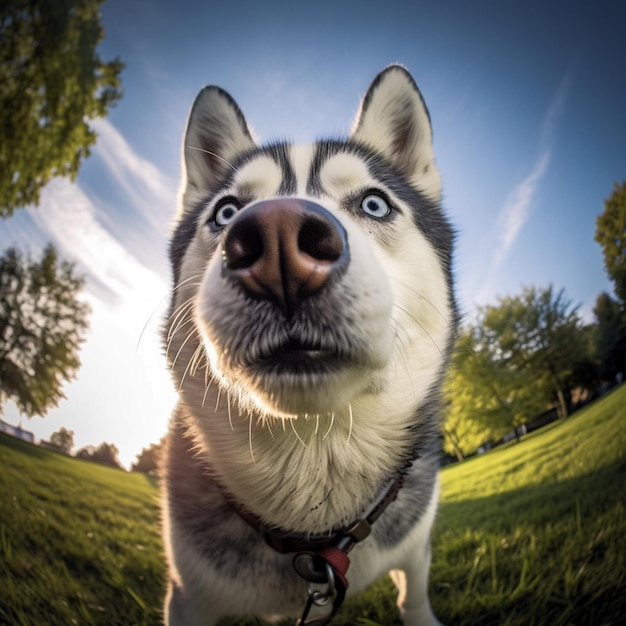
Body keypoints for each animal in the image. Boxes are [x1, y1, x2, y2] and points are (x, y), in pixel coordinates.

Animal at [161, 64, 454, 624]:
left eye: (374, 203)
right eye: (226, 211)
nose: (278, 241)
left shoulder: (416, 543)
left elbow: (414, 595)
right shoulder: (188, 596)